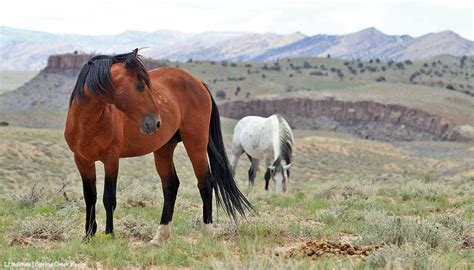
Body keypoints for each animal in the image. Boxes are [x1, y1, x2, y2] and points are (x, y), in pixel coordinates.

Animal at [65, 49, 256, 244]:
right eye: (140, 86)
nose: (155, 122)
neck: (89, 123)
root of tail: (198, 83)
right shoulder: (82, 161)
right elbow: (90, 197)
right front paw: (88, 235)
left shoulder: (111, 160)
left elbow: (108, 197)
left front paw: (109, 235)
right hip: (164, 148)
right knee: (170, 185)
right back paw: (159, 237)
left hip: (195, 144)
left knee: (205, 182)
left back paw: (207, 232)